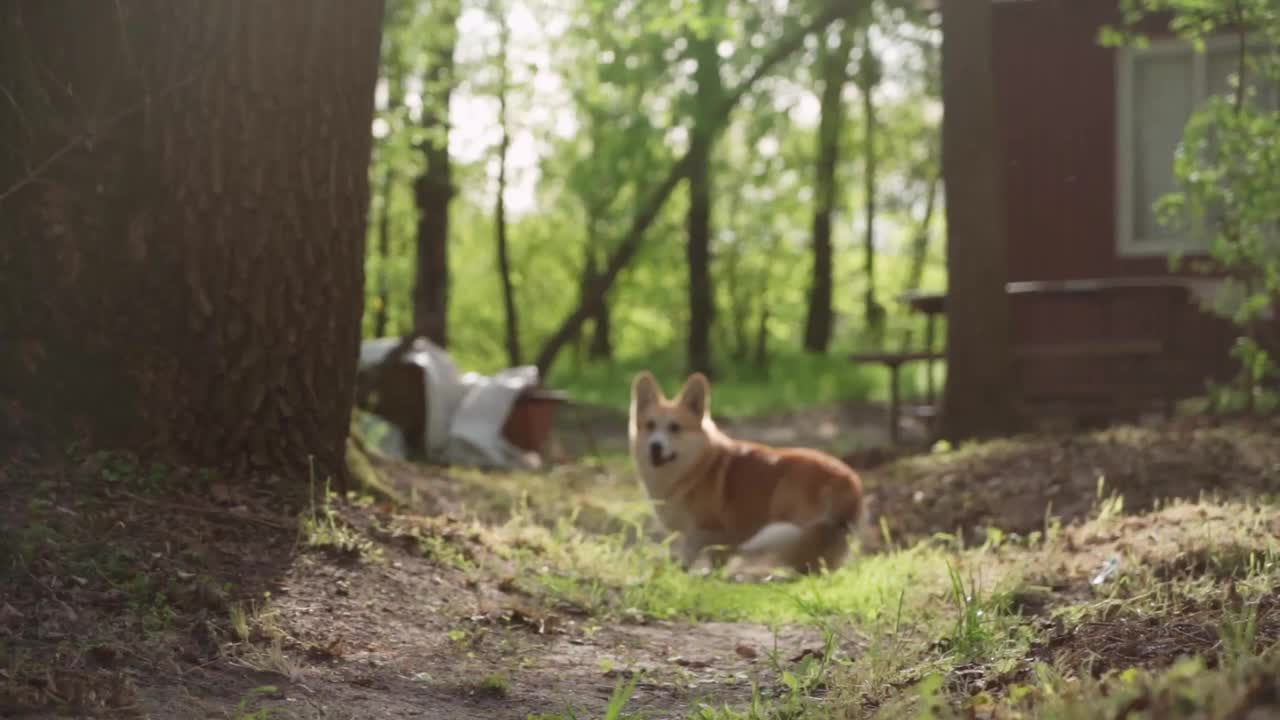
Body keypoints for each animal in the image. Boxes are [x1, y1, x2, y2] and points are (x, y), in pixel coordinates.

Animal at [627, 368, 865, 571]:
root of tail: (849, 481)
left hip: (786, 503)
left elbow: (690, 554)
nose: (655, 446)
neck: (695, 466)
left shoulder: (705, 531)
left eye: (675, 428)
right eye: (650, 425)